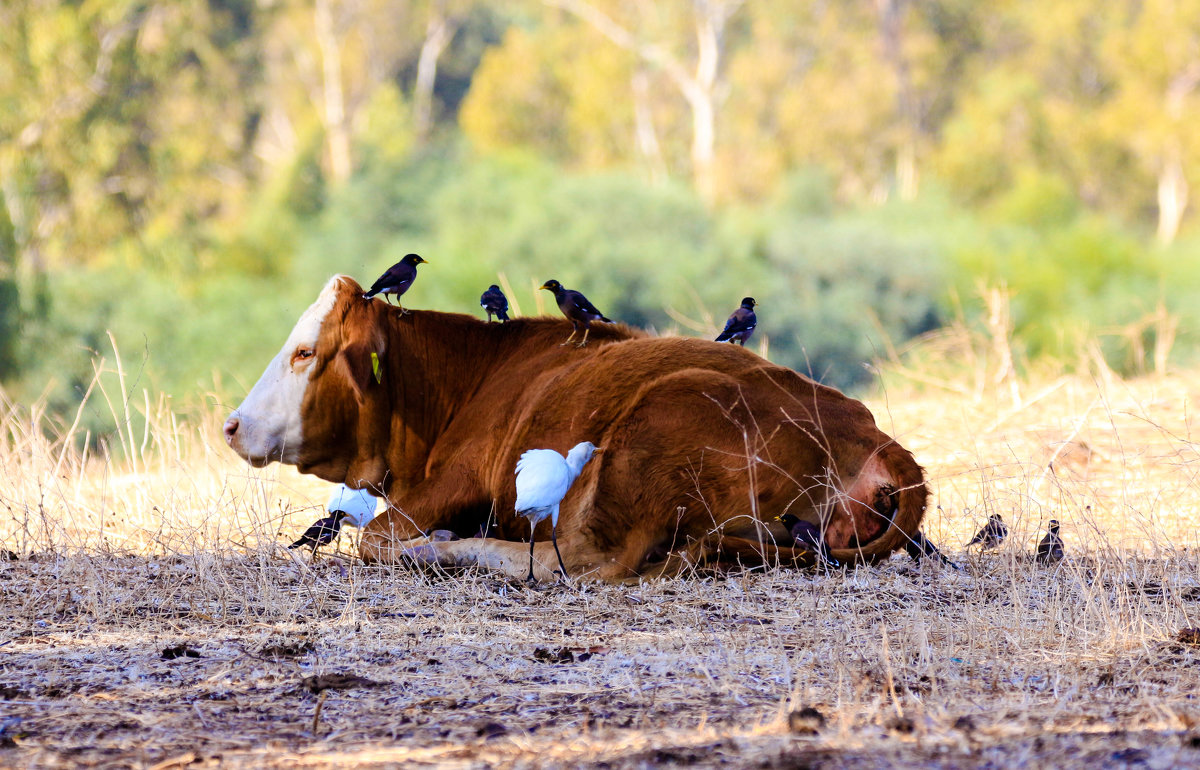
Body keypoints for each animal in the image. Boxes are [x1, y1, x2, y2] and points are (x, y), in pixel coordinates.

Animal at [229, 275, 931, 580]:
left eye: (304, 353)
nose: (233, 425)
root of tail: (875, 437)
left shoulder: (457, 479)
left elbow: (373, 539)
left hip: (644, 436)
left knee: (586, 560)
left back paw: (452, 549)